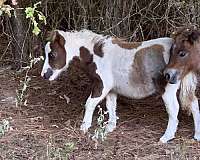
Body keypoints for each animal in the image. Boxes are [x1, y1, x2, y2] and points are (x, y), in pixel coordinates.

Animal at [41, 29, 198, 142]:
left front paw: (84, 127)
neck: (97, 56)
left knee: (174, 109)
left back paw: (166, 137)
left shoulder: (102, 85)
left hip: (168, 88)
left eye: (52, 54)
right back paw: (197, 135)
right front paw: (110, 127)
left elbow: (89, 103)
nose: (44, 75)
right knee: (194, 104)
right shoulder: (111, 89)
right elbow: (111, 105)